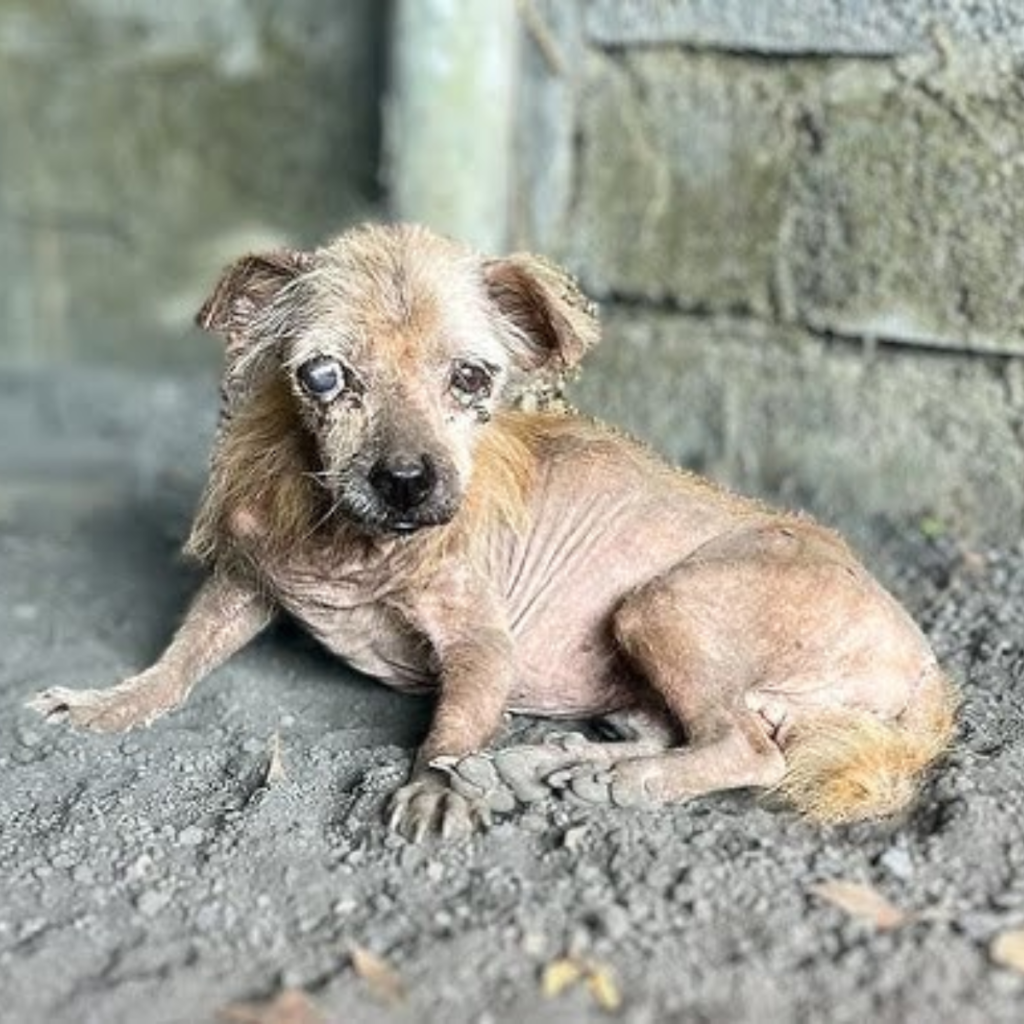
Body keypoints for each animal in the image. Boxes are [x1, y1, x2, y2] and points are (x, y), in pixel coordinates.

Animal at [32, 224, 958, 839]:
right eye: (323, 377)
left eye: (474, 379)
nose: (406, 480)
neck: (356, 547)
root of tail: (927, 670)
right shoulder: (247, 583)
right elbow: (178, 661)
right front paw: (112, 703)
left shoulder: (482, 648)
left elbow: (447, 729)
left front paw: (436, 787)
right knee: (689, 731)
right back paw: (549, 766)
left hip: (661, 604)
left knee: (747, 748)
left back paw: (586, 782)